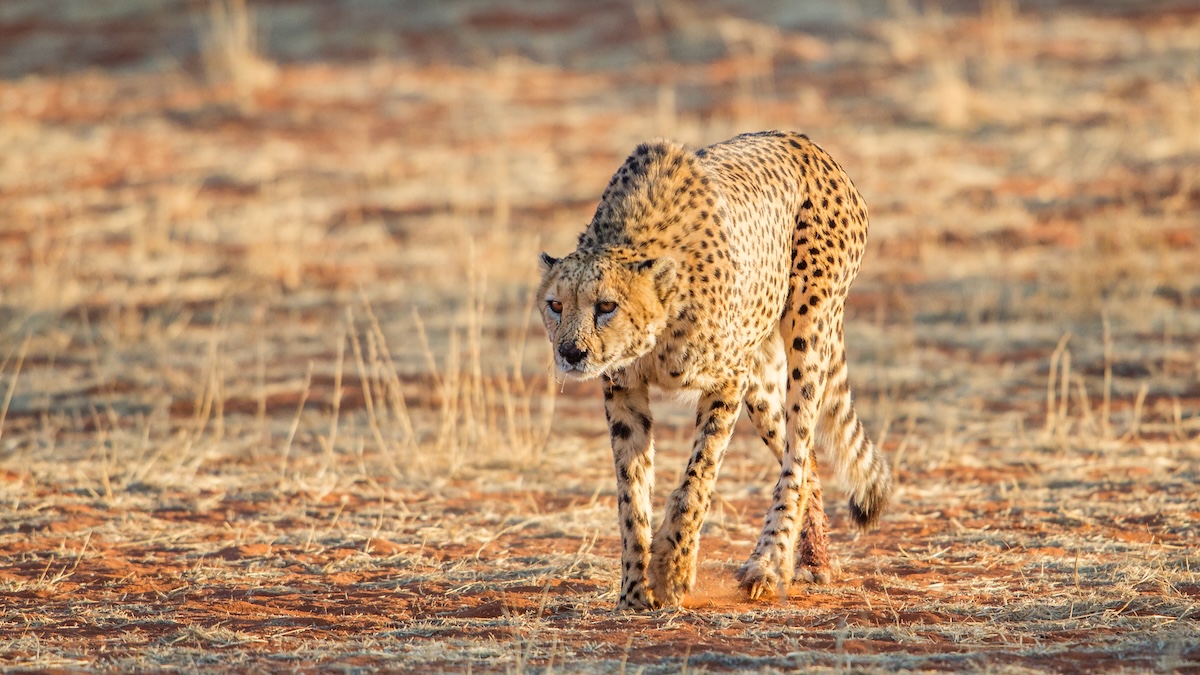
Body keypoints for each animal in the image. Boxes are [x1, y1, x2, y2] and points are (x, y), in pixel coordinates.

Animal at [535, 128, 892, 607]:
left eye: (606, 306)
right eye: (555, 306)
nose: (571, 353)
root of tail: (804, 141)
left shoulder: (726, 379)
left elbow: (697, 479)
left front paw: (672, 569)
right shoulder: (623, 389)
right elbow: (631, 493)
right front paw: (634, 591)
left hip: (808, 329)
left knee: (798, 454)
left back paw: (770, 563)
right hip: (761, 374)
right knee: (808, 458)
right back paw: (810, 559)